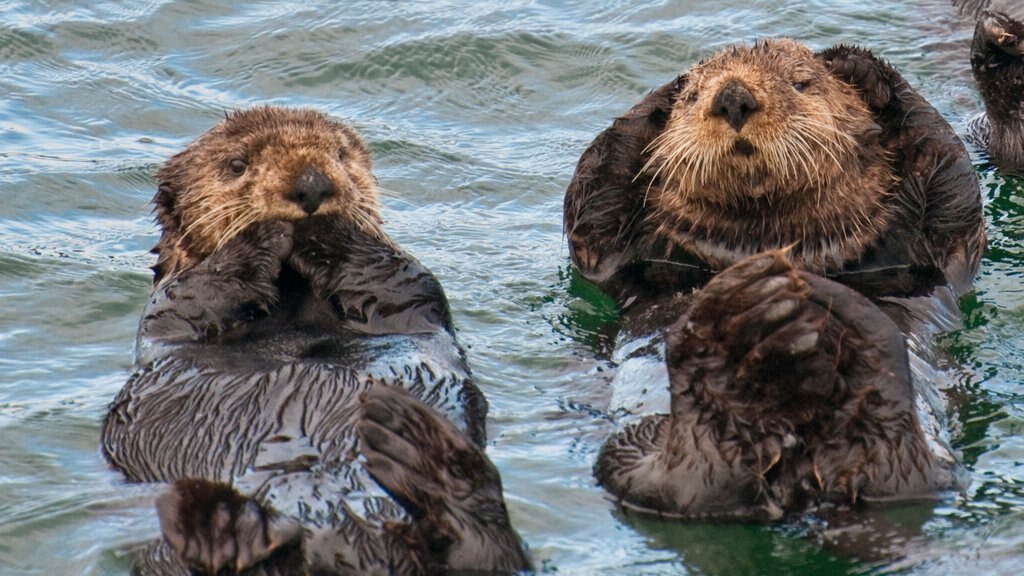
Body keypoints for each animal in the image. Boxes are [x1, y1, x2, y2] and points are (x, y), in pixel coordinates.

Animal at [100, 105, 532, 569]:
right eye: (236, 165)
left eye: (341, 155)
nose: (311, 184)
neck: (294, 302)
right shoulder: (170, 305)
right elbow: (200, 290)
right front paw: (263, 235)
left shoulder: (406, 295)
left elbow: (397, 276)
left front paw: (327, 231)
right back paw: (217, 526)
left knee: (483, 547)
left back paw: (422, 447)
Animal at [565, 39, 987, 516]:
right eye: (693, 98)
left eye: (801, 83)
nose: (732, 97)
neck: (762, 238)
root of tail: (798, 483)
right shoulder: (607, 254)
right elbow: (591, 194)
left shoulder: (943, 252)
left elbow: (952, 176)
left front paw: (854, 62)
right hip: (633, 448)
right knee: (687, 483)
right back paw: (742, 323)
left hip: (924, 464)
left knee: (906, 474)